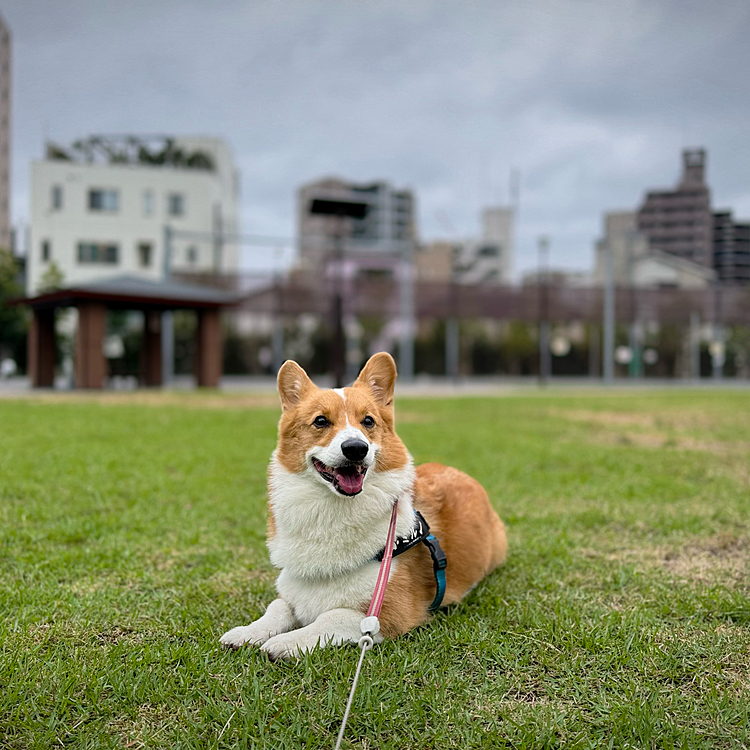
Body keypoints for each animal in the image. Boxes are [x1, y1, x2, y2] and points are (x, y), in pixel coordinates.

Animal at [220, 350, 508, 660]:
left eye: (368, 421)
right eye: (320, 421)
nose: (356, 448)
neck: (332, 509)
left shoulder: (386, 613)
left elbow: (330, 616)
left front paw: (285, 642)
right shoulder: (292, 590)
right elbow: (277, 608)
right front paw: (246, 632)